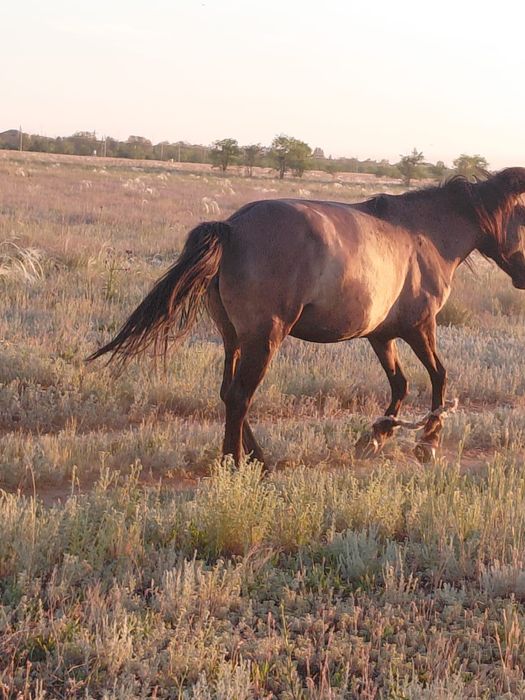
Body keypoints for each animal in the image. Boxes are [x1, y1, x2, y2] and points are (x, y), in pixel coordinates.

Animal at [88, 168, 525, 465]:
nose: (523, 277)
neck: (426, 235)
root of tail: (231, 227)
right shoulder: (421, 327)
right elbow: (439, 376)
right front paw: (428, 442)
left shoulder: (381, 335)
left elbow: (399, 383)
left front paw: (376, 436)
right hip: (264, 338)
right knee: (240, 396)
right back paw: (236, 464)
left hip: (234, 338)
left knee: (229, 392)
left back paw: (257, 459)